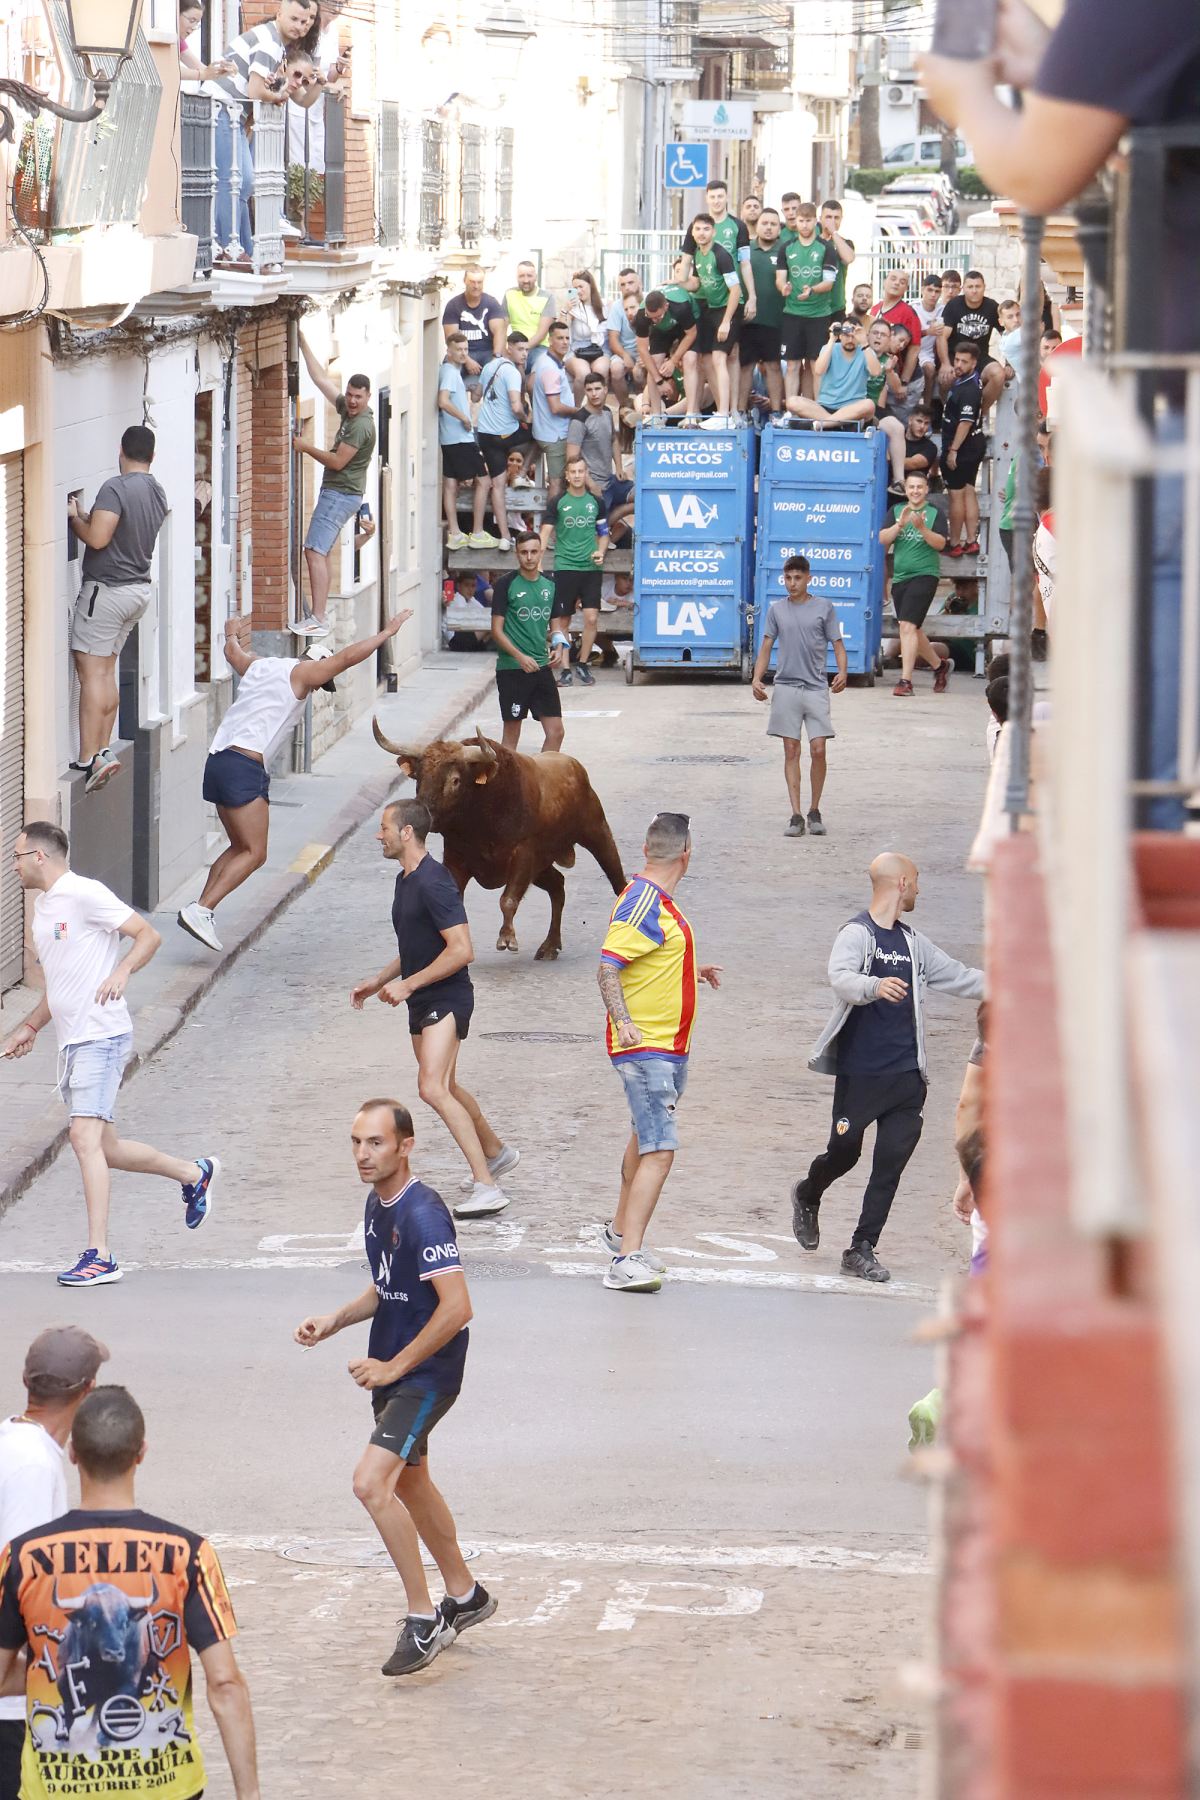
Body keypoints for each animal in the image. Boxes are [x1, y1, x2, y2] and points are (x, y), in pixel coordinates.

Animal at [52, 1577, 159, 1743]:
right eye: (92, 1622)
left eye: (125, 1623)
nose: (114, 1653)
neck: (98, 1667)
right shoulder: (65, 1679)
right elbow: (69, 1711)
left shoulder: (130, 1681)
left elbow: (117, 1706)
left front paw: (105, 1738)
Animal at [372, 721, 625, 959]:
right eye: (420, 777)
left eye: (455, 780)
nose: (425, 815)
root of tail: (572, 764)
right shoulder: (456, 858)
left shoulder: (523, 854)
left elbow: (508, 899)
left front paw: (507, 938)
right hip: (542, 866)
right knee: (558, 886)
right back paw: (550, 945)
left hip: (596, 831)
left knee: (616, 878)